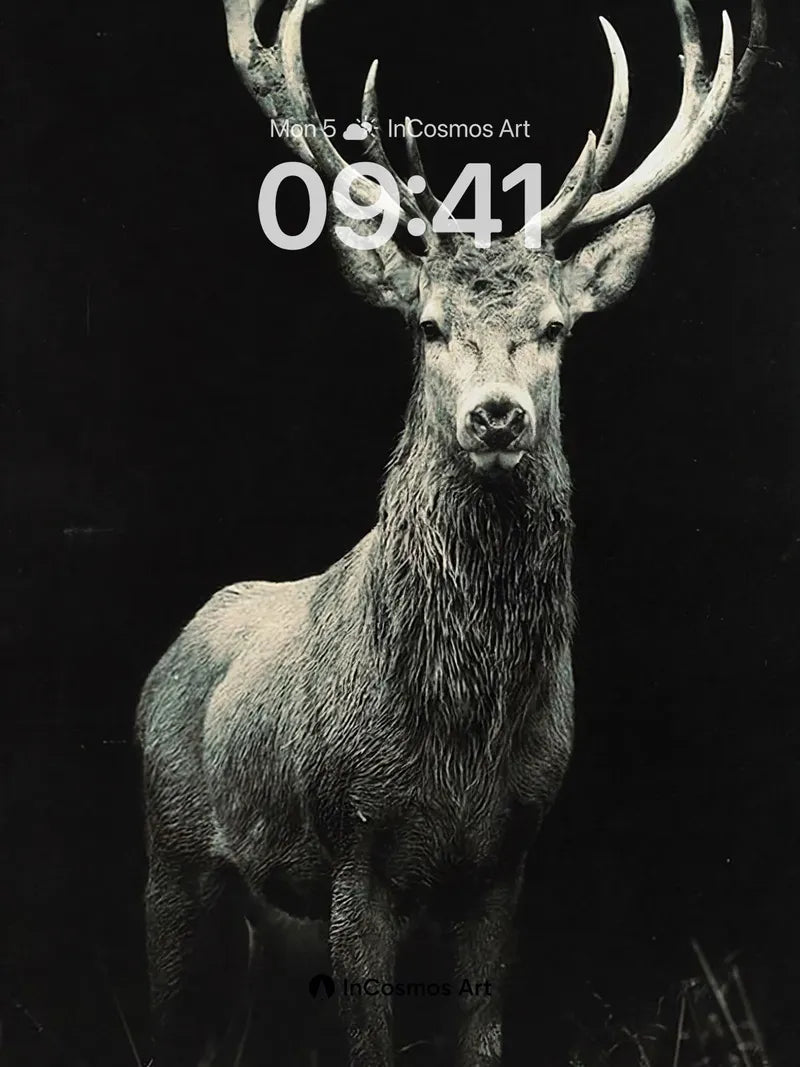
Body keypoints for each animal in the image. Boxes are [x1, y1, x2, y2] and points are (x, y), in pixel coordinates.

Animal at [136, 0, 765, 1064]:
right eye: (428, 324)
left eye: (554, 327)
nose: (498, 415)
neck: (461, 738)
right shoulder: (352, 841)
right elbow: (369, 1043)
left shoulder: (508, 853)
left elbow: (482, 1036)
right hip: (171, 843)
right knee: (163, 1015)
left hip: (266, 906)